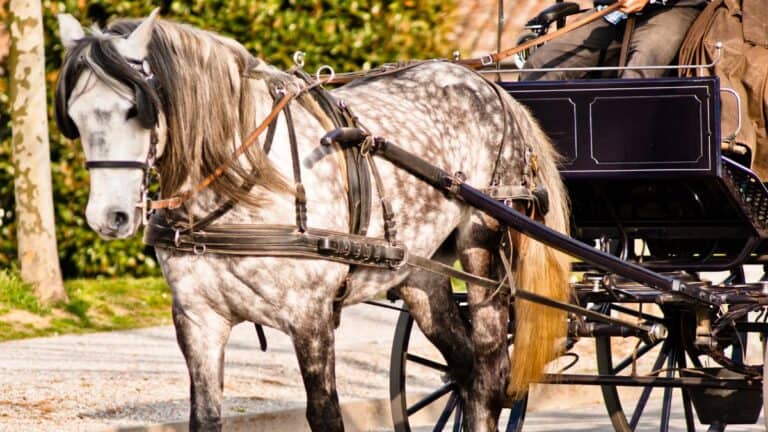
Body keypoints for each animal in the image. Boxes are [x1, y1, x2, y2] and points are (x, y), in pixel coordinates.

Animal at [55, 10, 570, 431]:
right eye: (74, 118)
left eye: (134, 109)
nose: (109, 216)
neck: (247, 186)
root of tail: (489, 86)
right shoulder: (198, 319)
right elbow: (204, 416)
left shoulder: (311, 319)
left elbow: (324, 414)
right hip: (418, 272)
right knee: (464, 371)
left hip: (484, 250)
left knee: (488, 375)